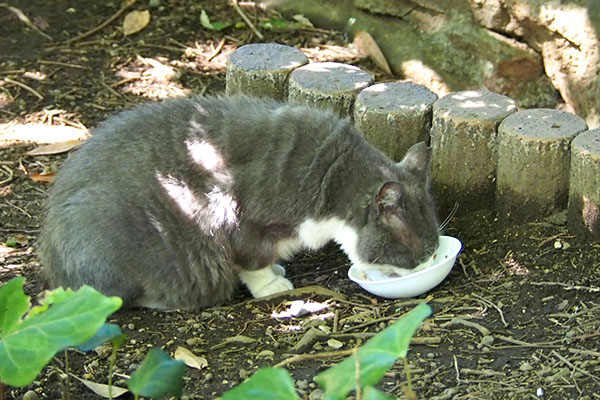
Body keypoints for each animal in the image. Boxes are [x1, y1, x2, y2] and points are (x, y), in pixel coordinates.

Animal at [38, 94, 440, 310]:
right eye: (420, 253)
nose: (429, 264)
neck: (332, 176)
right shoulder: (239, 217)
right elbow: (253, 260)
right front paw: (270, 285)